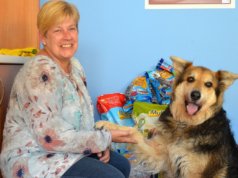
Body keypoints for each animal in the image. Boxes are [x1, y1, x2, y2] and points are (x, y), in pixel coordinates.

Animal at [95, 56, 238, 178]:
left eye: (208, 84)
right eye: (190, 79)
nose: (195, 95)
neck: (186, 124)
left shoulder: (193, 173)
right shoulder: (160, 154)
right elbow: (133, 132)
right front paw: (106, 125)